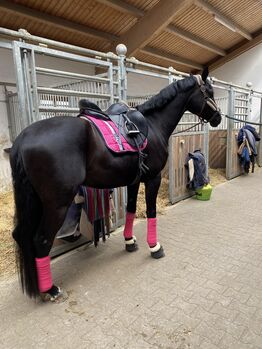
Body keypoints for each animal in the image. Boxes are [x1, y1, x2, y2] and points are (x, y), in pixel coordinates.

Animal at [9, 68, 220, 300]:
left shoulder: (134, 181)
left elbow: (130, 210)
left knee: (21, 235)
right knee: (41, 240)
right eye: (209, 92)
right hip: (57, 204)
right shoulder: (152, 179)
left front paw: (130, 242)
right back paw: (50, 289)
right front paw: (154, 247)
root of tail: (23, 138)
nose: (218, 118)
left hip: (35, 202)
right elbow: (151, 211)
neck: (153, 124)